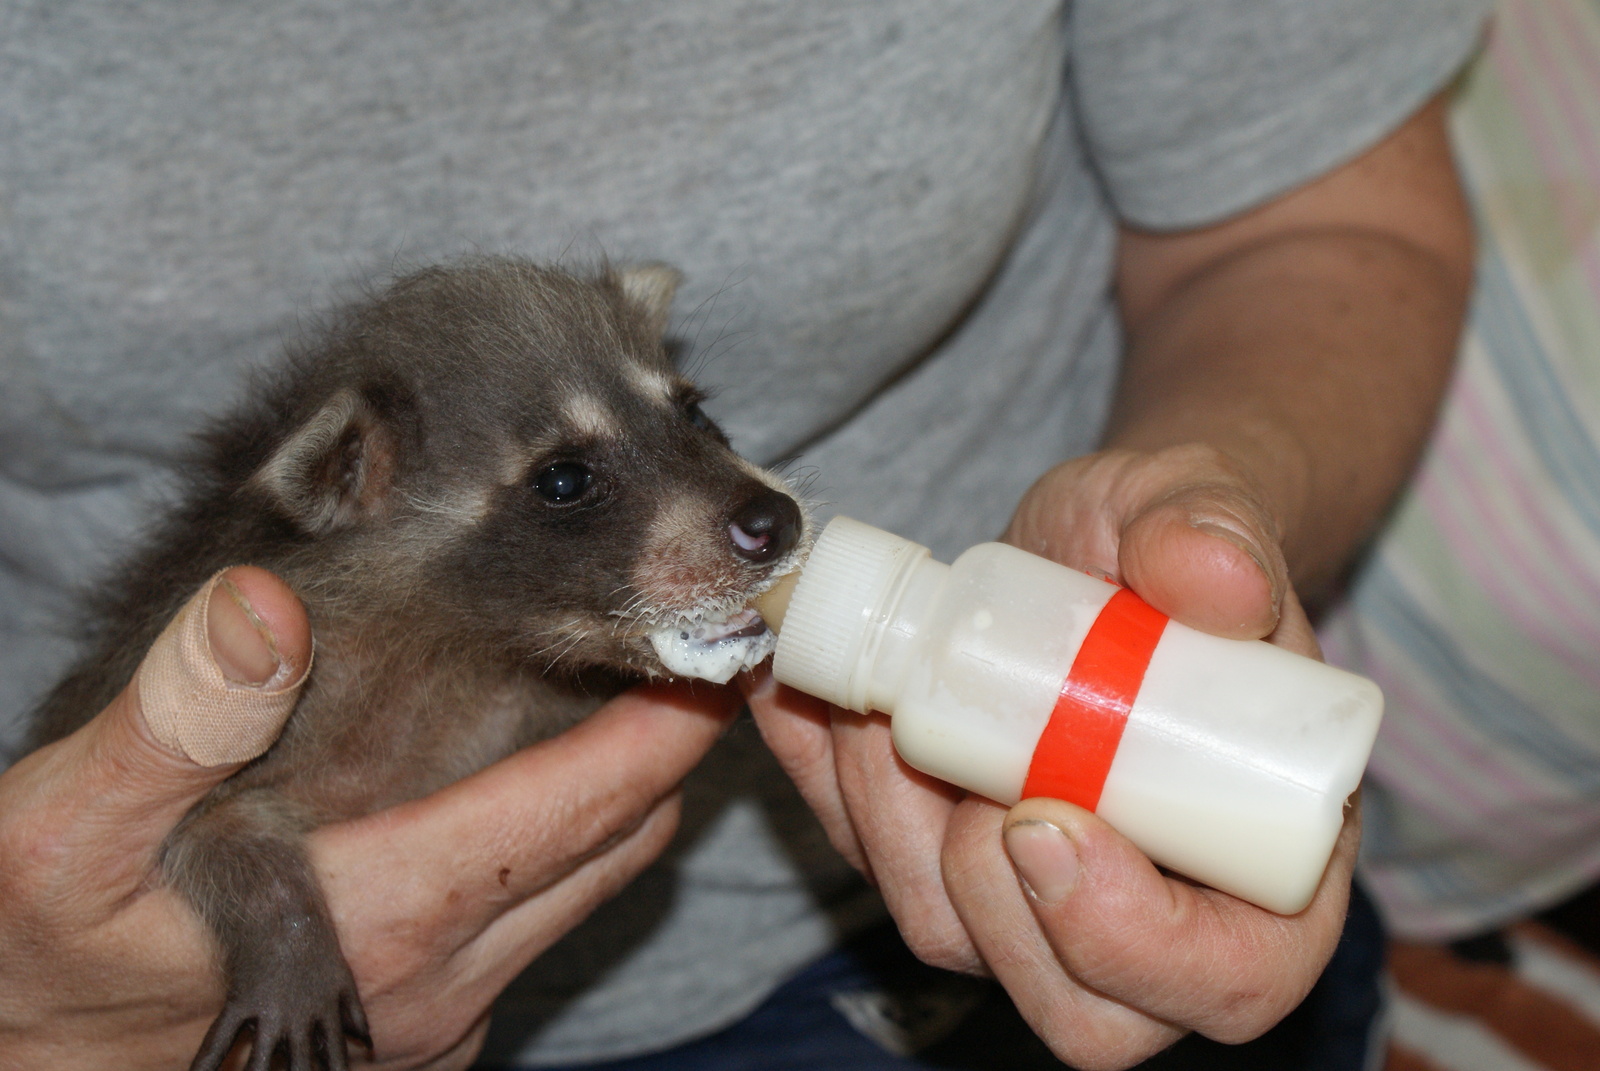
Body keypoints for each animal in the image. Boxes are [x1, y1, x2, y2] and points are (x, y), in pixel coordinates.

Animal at [20, 259, 806, 1069]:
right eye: (564, 480)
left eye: (694, 416)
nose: (774, 520)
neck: (466, 646)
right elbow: (203, 829)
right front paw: (287, 939)